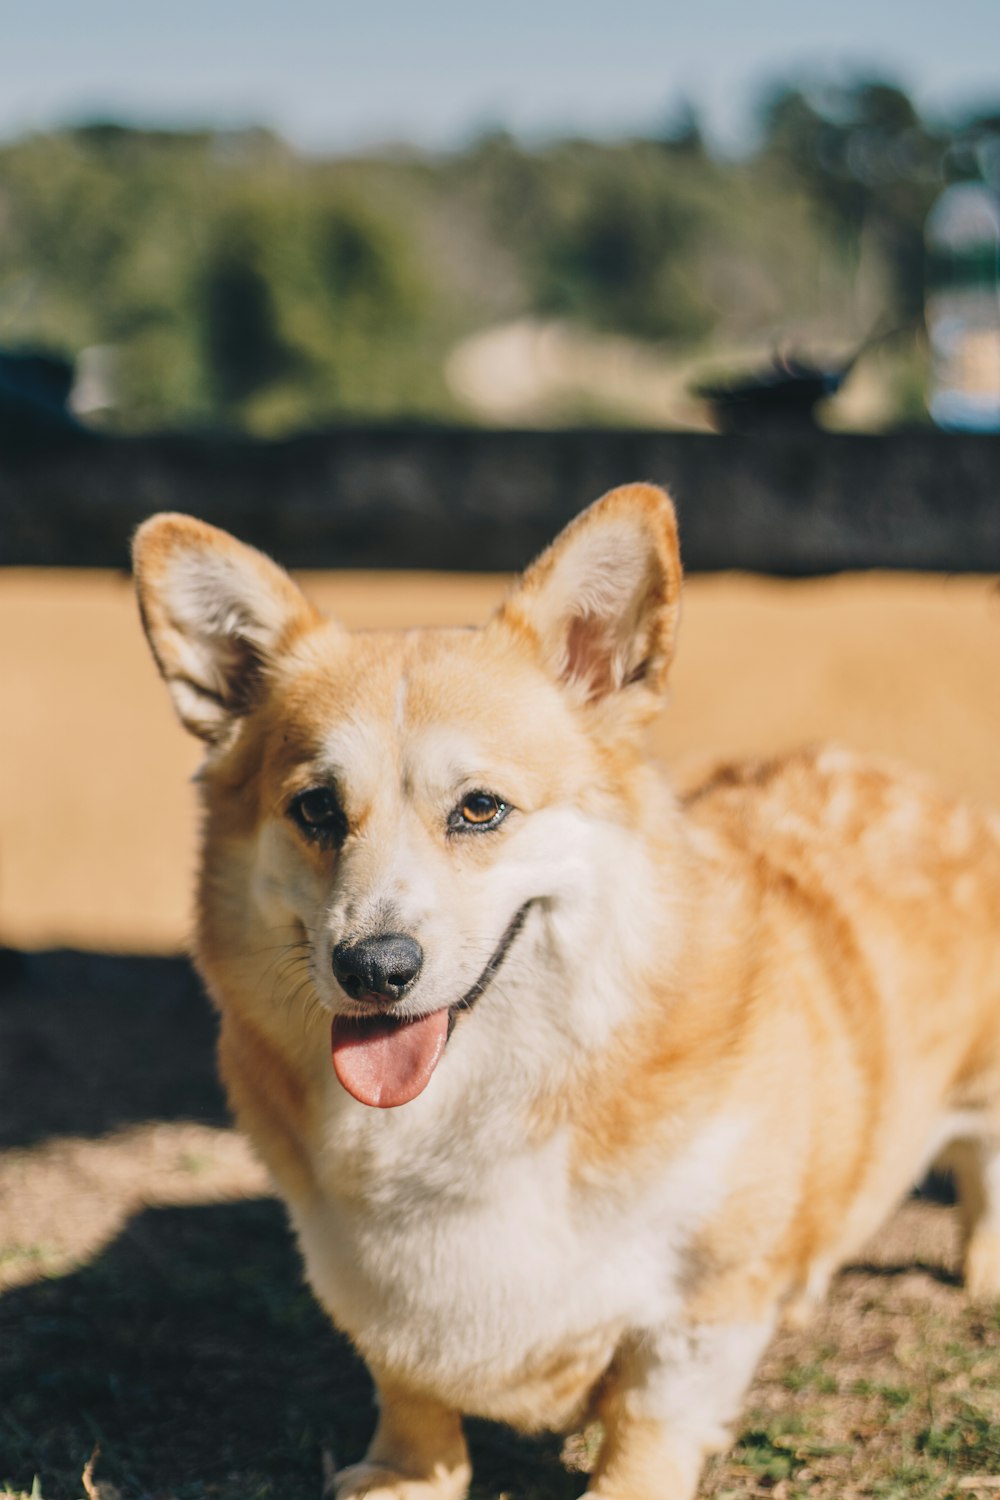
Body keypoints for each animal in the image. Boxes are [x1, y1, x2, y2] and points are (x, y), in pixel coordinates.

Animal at [132, 486, 1000, 1494]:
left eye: (480, 808)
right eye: (315, 808)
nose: (373, 970)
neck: (474, 1107)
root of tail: (914, 782)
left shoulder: (698, 1309)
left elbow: (650, 1420)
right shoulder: (370, 1285)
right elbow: (407, 1382)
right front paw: (406, 1474)